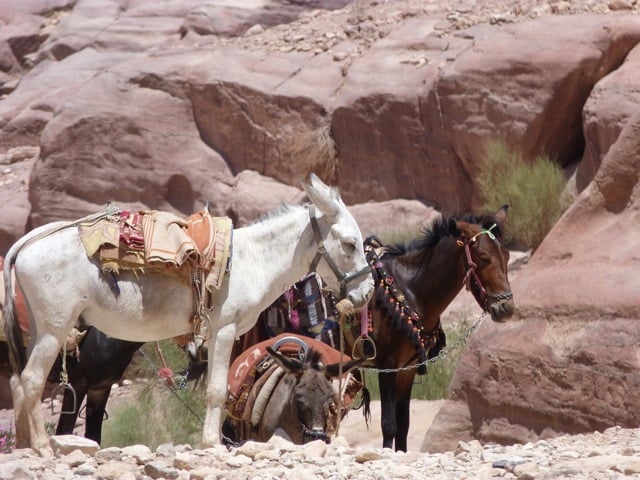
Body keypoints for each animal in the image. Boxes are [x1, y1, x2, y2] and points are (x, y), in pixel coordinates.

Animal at [2, 173, 374, 456]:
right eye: (349, 243)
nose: (368, 292)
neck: (252, 261)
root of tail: (27, 242)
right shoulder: (225, 330)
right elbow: (217, 390)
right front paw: (212, 444)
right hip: (55, 328)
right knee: (31, 380)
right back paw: (41, 448)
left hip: (39, 329)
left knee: (19, 384)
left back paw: (23, 447)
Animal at [226, 205, 515, 451]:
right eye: (484, 258)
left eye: (507, 256)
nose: (506, 309)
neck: (409, 289)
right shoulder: (388, 365)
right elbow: (389, 424)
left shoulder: (408, 368)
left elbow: (404, 424)